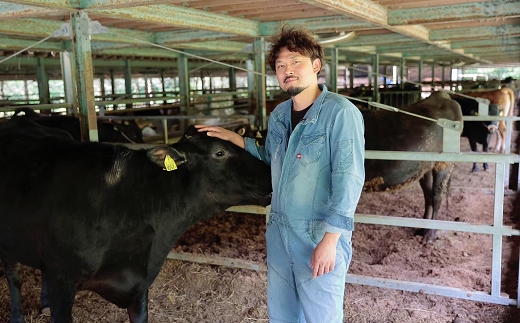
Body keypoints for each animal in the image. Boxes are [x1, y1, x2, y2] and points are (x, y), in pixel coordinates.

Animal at [362, 91, 464, 243]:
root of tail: (441, 95)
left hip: (443, 165)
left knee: (436, 196)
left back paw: (429, 235)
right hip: (425, 169)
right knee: (428, 195)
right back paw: (422, 229)